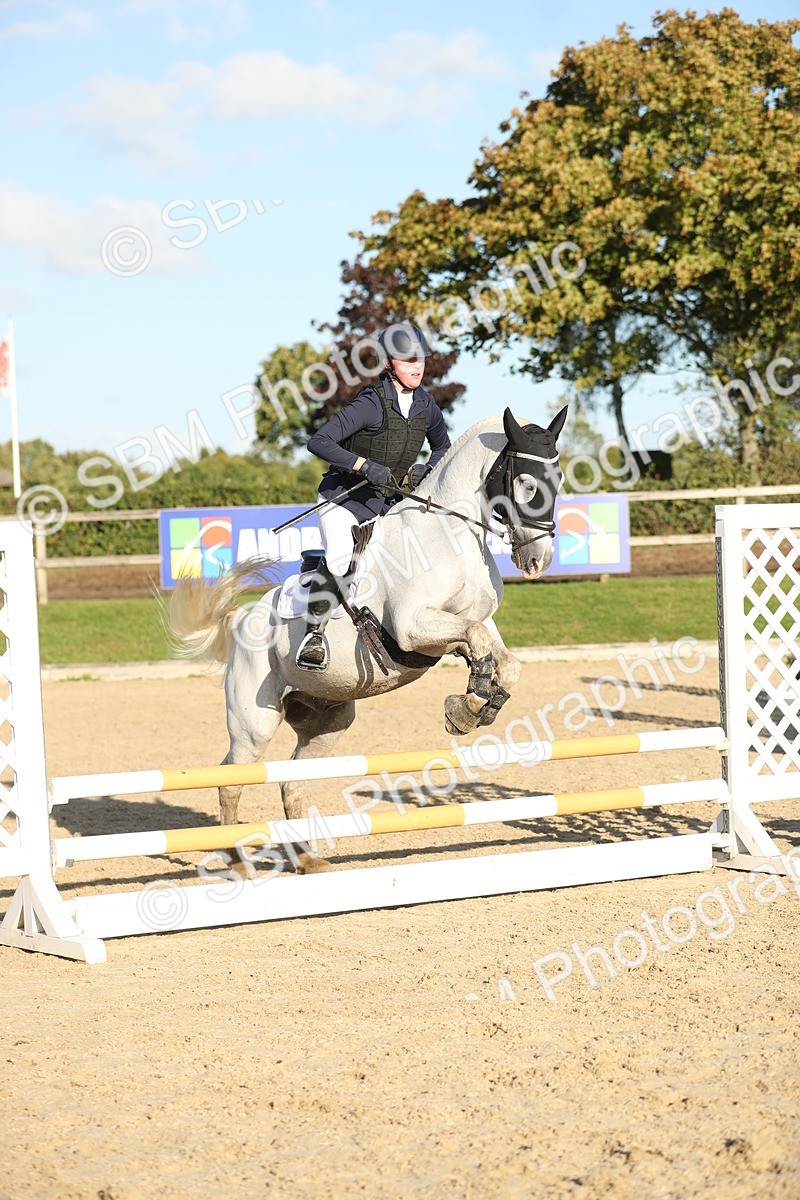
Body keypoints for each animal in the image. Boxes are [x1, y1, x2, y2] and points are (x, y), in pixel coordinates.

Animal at [170, 407, 566, 871]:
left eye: (559, 478)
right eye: (527, 484)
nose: (538, 561)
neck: (449, 536)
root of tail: (241, 621)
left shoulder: (473, 621)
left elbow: (501, 658)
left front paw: (481, 703)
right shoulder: (413, 630)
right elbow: (476, 641)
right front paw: (466, 708)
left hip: (328, 721)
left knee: (291, 782)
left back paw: (307, 860)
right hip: (254, 723)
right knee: (232, 778)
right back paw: (236, 861)